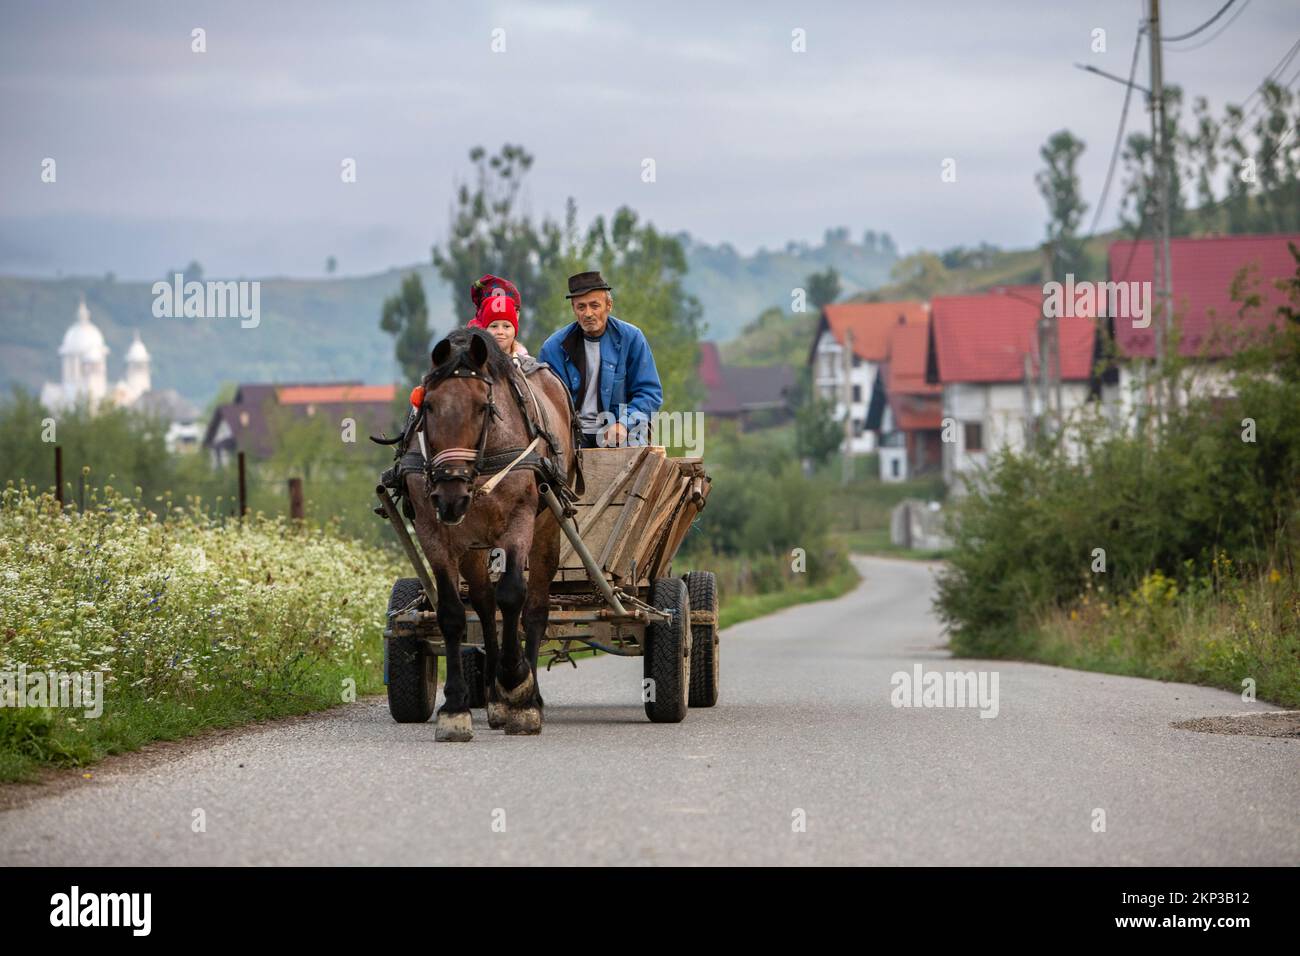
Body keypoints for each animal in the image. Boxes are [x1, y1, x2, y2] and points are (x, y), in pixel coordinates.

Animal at [405, 327, 579, 738]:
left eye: (483, 407)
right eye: (428, 406)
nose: (450, 494)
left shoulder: (519, 521)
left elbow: (513, 595)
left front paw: (517, 683)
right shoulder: (434, 532)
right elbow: (453, 612)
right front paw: (455, 708)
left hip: (546, 528)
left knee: (534, 608)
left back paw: (528, 698)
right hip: (472, 543)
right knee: (484, 605)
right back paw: (496, 699)